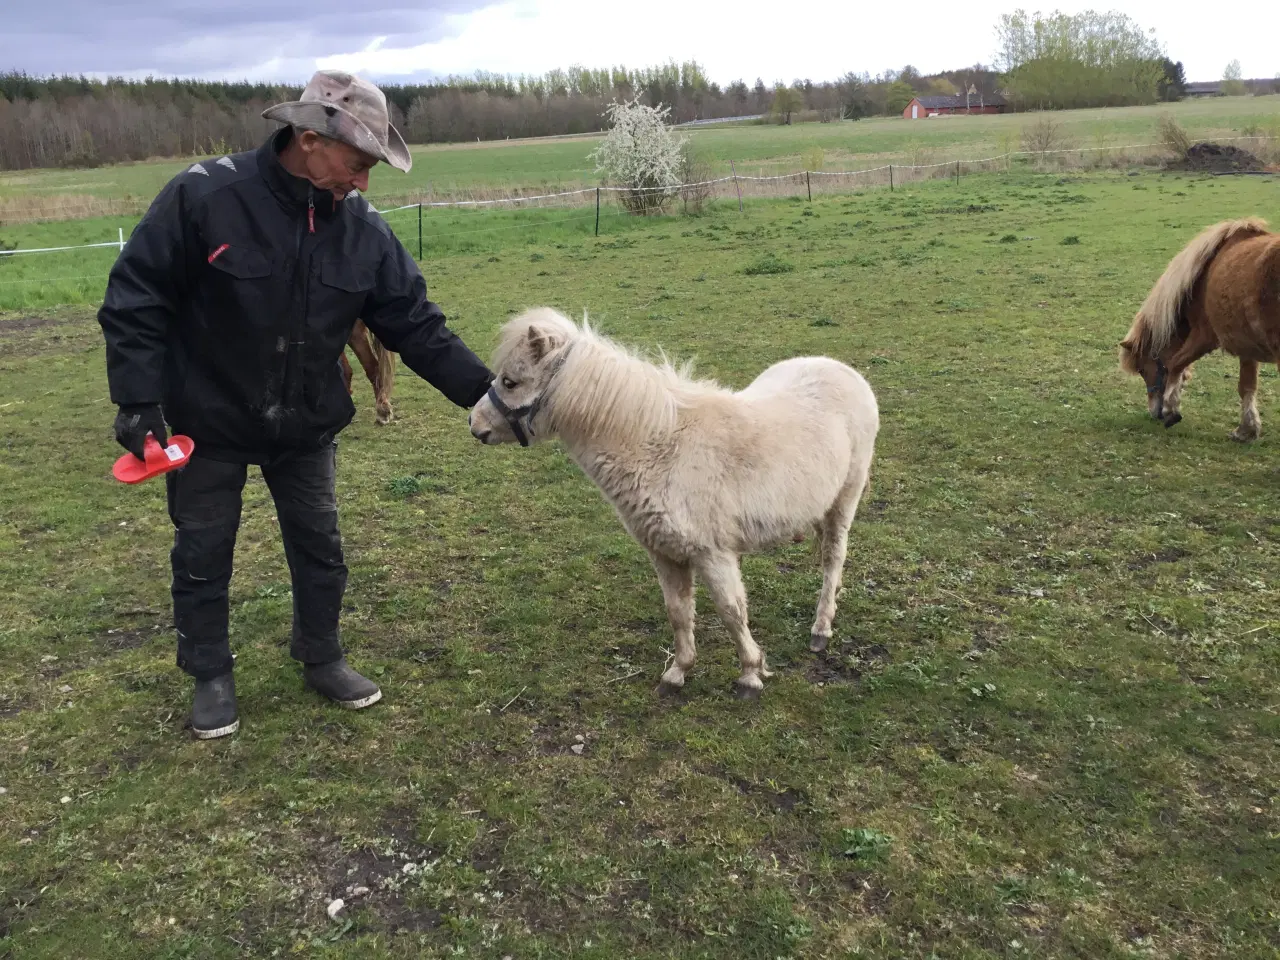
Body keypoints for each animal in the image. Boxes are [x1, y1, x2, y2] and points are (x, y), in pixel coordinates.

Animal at [471, 309, 880, 701]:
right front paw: (678, 672)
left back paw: (821, 628)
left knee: (833, 557)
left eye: (510, 381)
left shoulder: (714, 554)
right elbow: (679, 612)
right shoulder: (665, 553)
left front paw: (750, 674)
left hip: (845, 499)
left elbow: (732, 612)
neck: (662, 450)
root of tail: (840, 369)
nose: (475, 425)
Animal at [1121, 216, 1280, 442]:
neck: (1201, 277)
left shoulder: (1204, 337)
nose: (1154, 413)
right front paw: (1246, 430)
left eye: (1142, 369)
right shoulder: (1246, 347)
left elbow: (1175, 363)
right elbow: (1247, 387)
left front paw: (1171, 410)